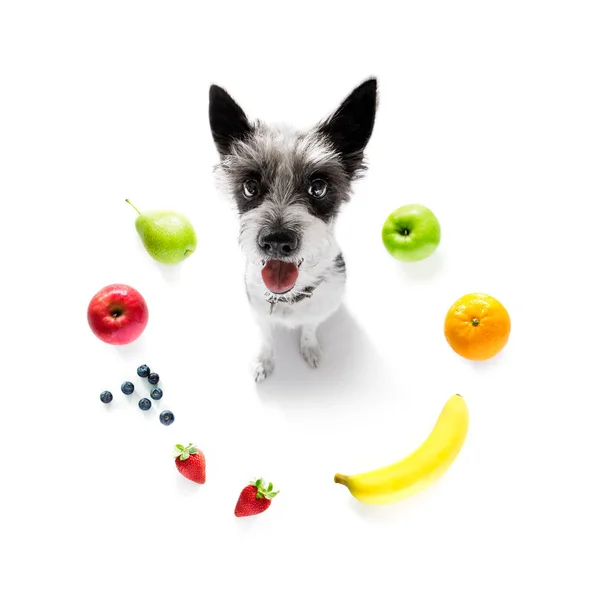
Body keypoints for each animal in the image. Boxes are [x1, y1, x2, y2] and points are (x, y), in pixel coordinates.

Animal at [210, 78, 380, 380]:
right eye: (250, 187)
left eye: (318, 187)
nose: (277, 241)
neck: (289, 298)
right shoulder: (259, 314)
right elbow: (266, 338)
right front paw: (263, 362)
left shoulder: (318, 311)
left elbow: (310, 328)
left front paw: (309, 348)